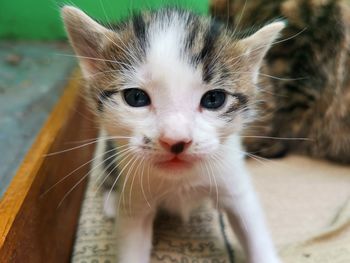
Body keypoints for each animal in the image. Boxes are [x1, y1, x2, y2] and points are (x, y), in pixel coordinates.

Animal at [60, 6, 284, 263]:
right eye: (136, 97)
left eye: (214, 99)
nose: (176, 141)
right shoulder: (135, 200)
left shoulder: (235, 185)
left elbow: (253, 229)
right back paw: (112, 201)